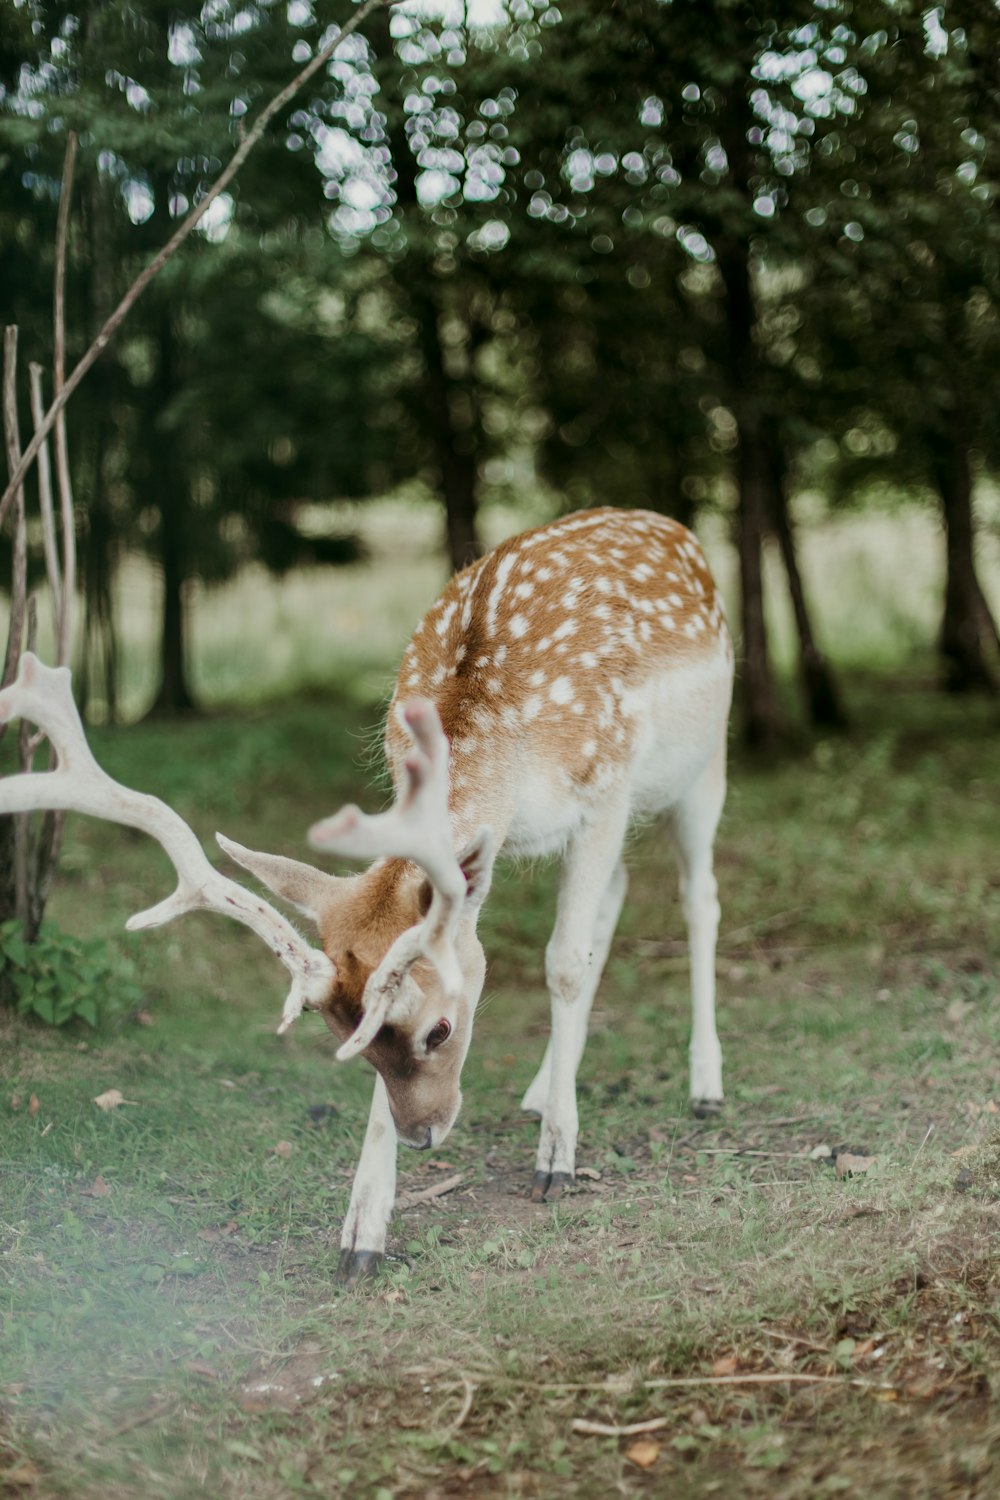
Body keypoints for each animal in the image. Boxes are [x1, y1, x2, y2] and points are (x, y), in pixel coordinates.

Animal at [0, 507, 734, 1278]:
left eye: (441, 1029)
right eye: (345, 1035)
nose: (423, 1136)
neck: (515, 746)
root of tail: (669, 526)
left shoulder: (605, 792)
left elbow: (563, 960)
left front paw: (557, 1160)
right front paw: (363, 1229)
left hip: (701, 764)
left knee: (698, 896)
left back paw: (704, 1087)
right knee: (616, 894)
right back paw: (542, 1088)